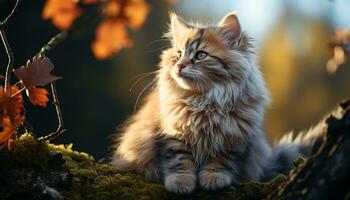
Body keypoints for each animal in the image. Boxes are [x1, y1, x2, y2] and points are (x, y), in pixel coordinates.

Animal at [110, 12, 324, 194]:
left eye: (200, 55)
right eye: (178, 55)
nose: (179, 66)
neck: (205, 101)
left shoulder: (233, 138)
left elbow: (220, 161)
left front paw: (213, 178)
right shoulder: (171, 133)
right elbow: (178, 159)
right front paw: (181, 182)